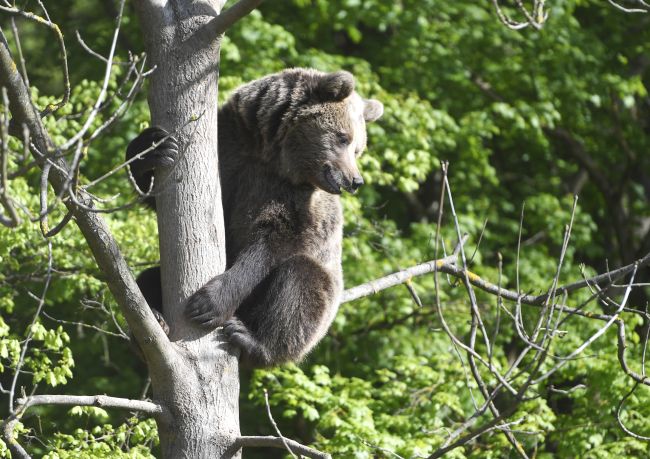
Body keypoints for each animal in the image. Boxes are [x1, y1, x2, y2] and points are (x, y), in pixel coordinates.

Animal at [126, 68, 380, 368]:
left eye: (357, 148)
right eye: (343, 138)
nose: (355, 180)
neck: (270, 153)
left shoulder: (291, 199)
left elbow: (273, 242)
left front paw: (208, 303)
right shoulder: (229, 152)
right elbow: (155, 194)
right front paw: (154, 148)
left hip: (321, 305)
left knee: (302, 283)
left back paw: (252, 339)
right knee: (149, 278)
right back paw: (155, 320)